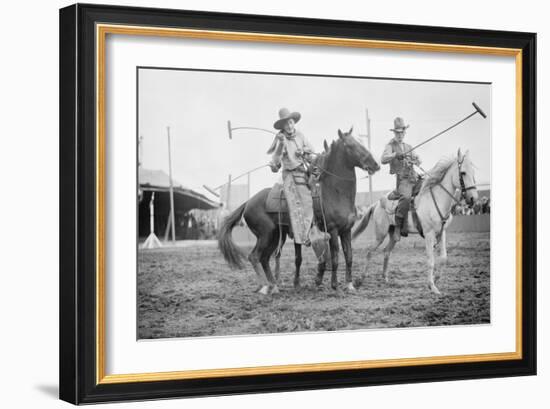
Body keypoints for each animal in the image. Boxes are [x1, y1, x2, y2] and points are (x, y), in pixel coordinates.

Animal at [218, 128, 382, 294]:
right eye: (351, 145)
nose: (375, 165)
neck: (334, 193)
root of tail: (248, 202)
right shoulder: (333, 230)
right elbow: (335, 257)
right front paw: (334, 285)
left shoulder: (346, 230)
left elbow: (349, 257)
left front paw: (349, 284)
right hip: (265, 234)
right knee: (254, 256)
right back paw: (265, 286)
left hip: (275, 235)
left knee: (264, 258)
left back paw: (273, 286)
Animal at [354, 149, 478, 294]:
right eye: (463, 172)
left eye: (473, 172)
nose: (473, 199)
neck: (437, 198)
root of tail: (376, 204)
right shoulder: (429, 234)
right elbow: (430, 260)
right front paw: (432, 286)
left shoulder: (442, 233)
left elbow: (443, 258)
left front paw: (436, 279)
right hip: (380, 234)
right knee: (369, 251)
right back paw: (360, 280)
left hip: (393, 234)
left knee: (386, 251)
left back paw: (385, 278)